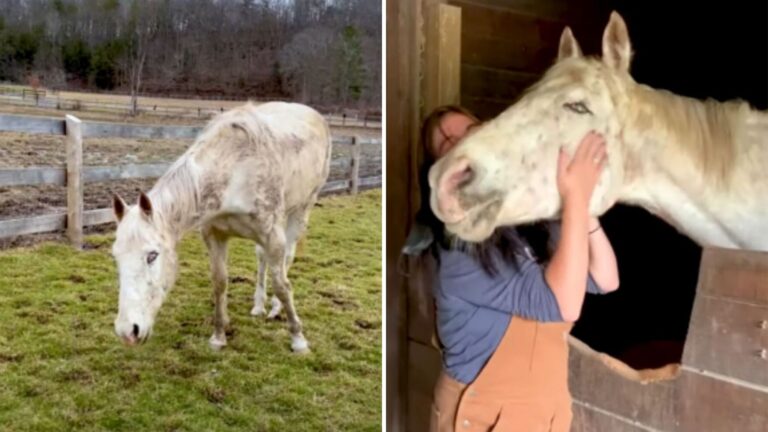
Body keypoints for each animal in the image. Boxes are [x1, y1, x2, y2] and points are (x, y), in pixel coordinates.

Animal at [111, 101, 332, 353]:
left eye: (152, 255)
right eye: (116, 256)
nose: (128, 331)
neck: (235, 171)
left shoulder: (273, 235)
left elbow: (282, 285)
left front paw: (298, 338)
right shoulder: (214, 235)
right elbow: (219, 282)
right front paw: (219, 335)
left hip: (302, 208)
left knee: (287, 258)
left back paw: (276, 309)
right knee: (261, 257)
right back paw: (259, 306)